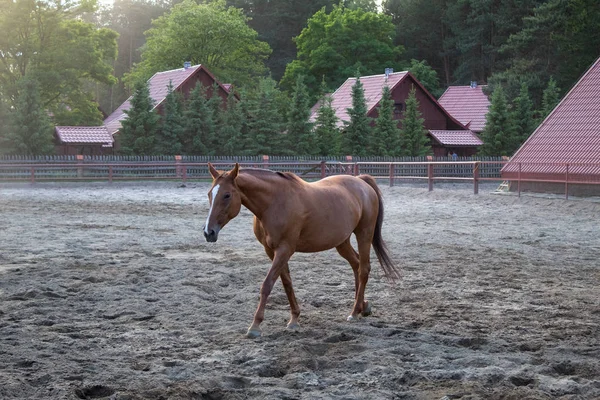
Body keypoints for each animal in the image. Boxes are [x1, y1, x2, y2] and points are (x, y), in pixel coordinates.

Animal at [203, 162, 398, 338]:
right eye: (209, 194)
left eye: (227, 195)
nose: (208, 232)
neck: (274, 203)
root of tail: (361, 181)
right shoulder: (272, 251)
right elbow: (286, 283)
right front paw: (294, 319)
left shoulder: (285, 249)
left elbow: (267, 284)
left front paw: (255, 326)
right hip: (342, 241)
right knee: (356, 265)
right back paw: (362, 307)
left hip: (364, 234)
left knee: (363, 269)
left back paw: (354, 312)